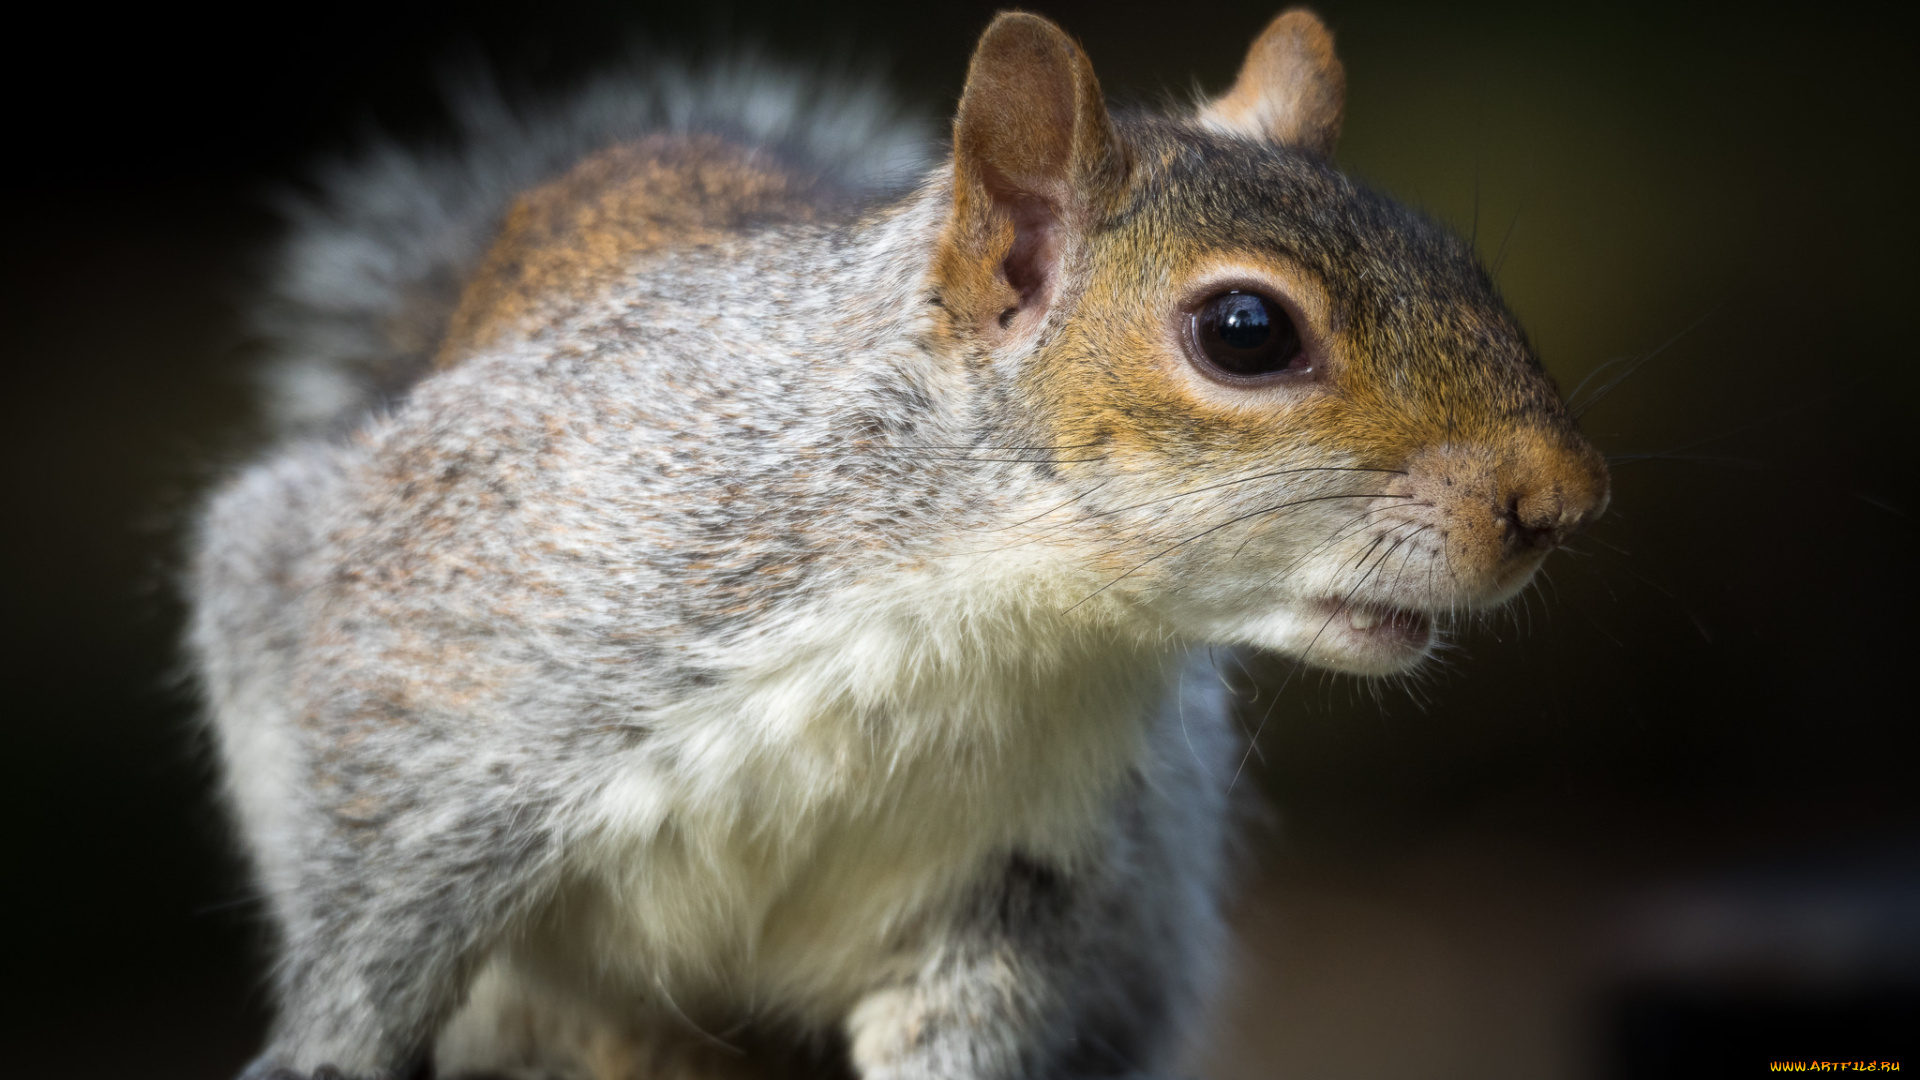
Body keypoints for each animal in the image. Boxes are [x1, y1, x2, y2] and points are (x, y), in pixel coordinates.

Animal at [191, 8, 1605, 1076]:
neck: (991, 606)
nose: (1564, 502)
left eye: (1460, 259)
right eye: (1246, 332)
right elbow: (371, 927)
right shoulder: (441, 663)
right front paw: (323, 1049)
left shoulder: (1024, 879)